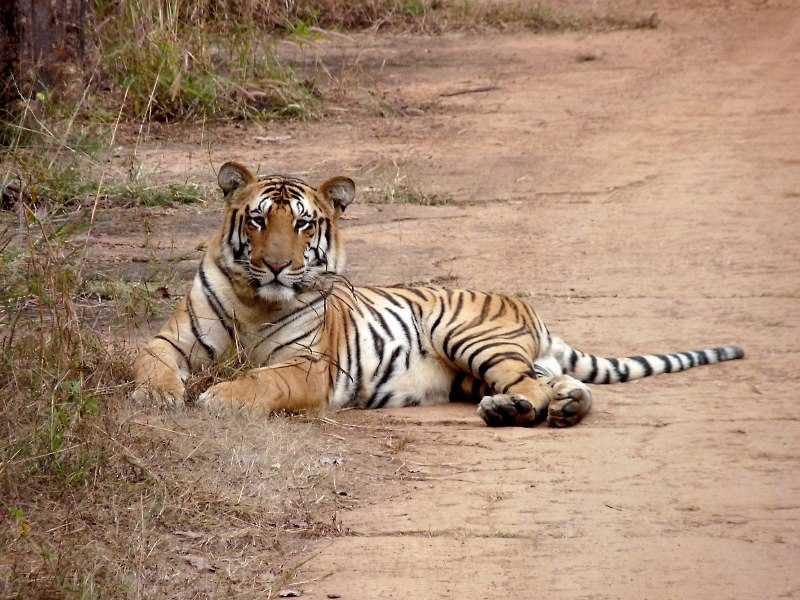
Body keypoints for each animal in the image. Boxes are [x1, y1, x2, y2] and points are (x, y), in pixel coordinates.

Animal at [132, 161, 745, 427]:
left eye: (304, 225)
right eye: (258, 220)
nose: (277, 266)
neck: (256, 302)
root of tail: (526, 305)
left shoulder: (309, 368)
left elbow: (261, 380)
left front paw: (218, 397)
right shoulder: (172, 341)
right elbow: (150, 362)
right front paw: (159, 395)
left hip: (469, 337)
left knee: (537, 390)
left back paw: (526, 413)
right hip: (483, 368)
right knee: (561, 384)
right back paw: (543, 406)